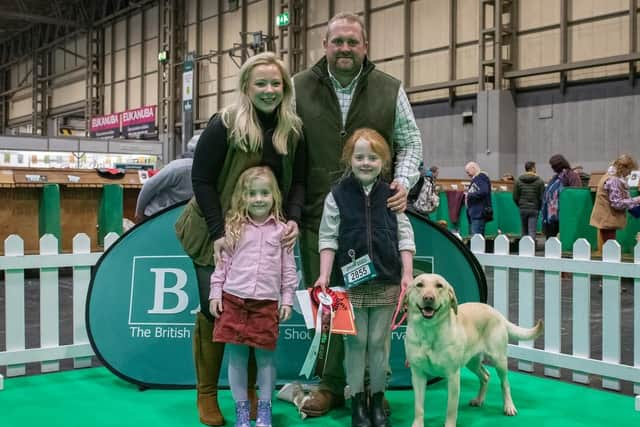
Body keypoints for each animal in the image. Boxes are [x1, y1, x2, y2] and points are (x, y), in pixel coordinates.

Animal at [404, 274, 540, 427]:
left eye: (439, 286)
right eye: (419, 285)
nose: (428, 298)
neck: (429, 331)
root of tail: (497, 313)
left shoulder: (453, 376)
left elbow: (451, 409)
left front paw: (449, 424)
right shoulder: (418, 375)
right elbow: (419, 407)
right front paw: (417, 424)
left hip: (499, 360)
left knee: (505, 384)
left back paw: (509, 406)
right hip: (472, 362)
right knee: (485, 376)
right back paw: (479, 400)